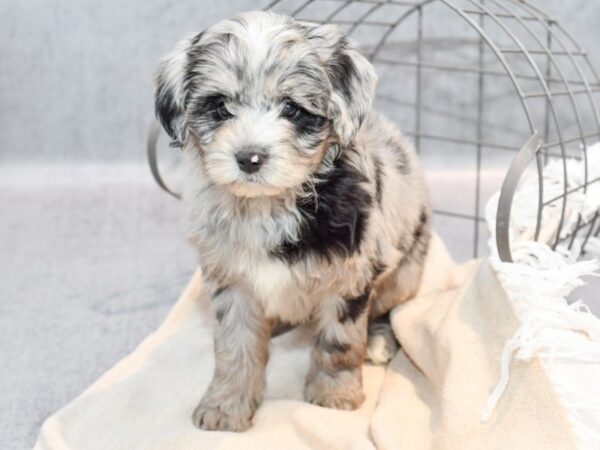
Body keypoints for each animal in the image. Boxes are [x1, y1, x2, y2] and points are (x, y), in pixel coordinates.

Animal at [152, 10, 428, 432]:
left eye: (292, 109)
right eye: (219, 107)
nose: (249, 158)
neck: (268, 205)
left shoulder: (349, 275)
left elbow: (339, 341)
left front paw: (334, 395)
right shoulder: (232, 279)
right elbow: (234, 346)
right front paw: (226, 405)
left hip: (405, 273)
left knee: (385, 307)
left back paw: (379, 340)